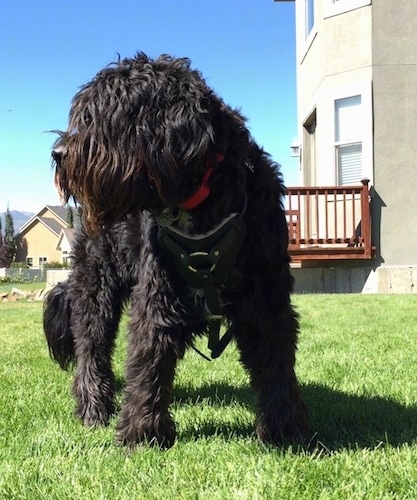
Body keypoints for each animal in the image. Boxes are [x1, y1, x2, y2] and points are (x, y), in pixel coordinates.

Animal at [44, 52, 308, 448]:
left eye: (104, 115)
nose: (57, 153)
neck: (203, 198)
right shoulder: (158, 293)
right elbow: (147, 360)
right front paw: (142, 434)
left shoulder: (267, 295)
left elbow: (275, 361)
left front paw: (285, 430)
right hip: (96, 285)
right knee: (91, 346)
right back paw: (93, 408)